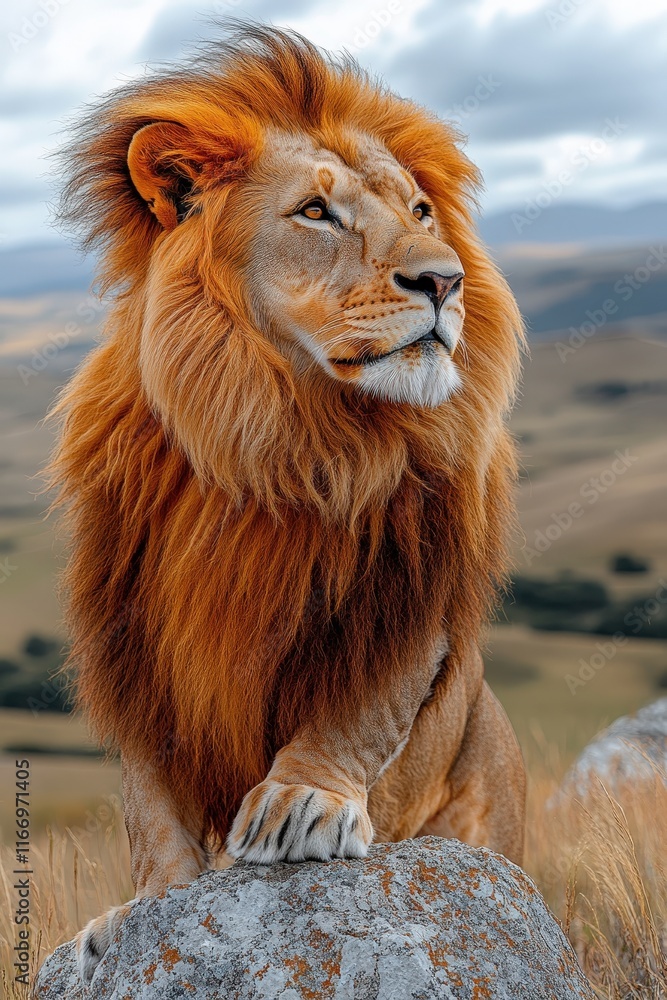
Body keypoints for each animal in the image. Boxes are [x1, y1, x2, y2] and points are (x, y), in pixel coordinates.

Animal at [46, 22, 526, 983]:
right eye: (315, 213)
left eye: (421, 211)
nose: (446, 281)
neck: (278, 433)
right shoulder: (133, 627)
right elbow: (147, 797)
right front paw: (146, 910)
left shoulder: (407, 587)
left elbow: (364, 705)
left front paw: (303, 802)